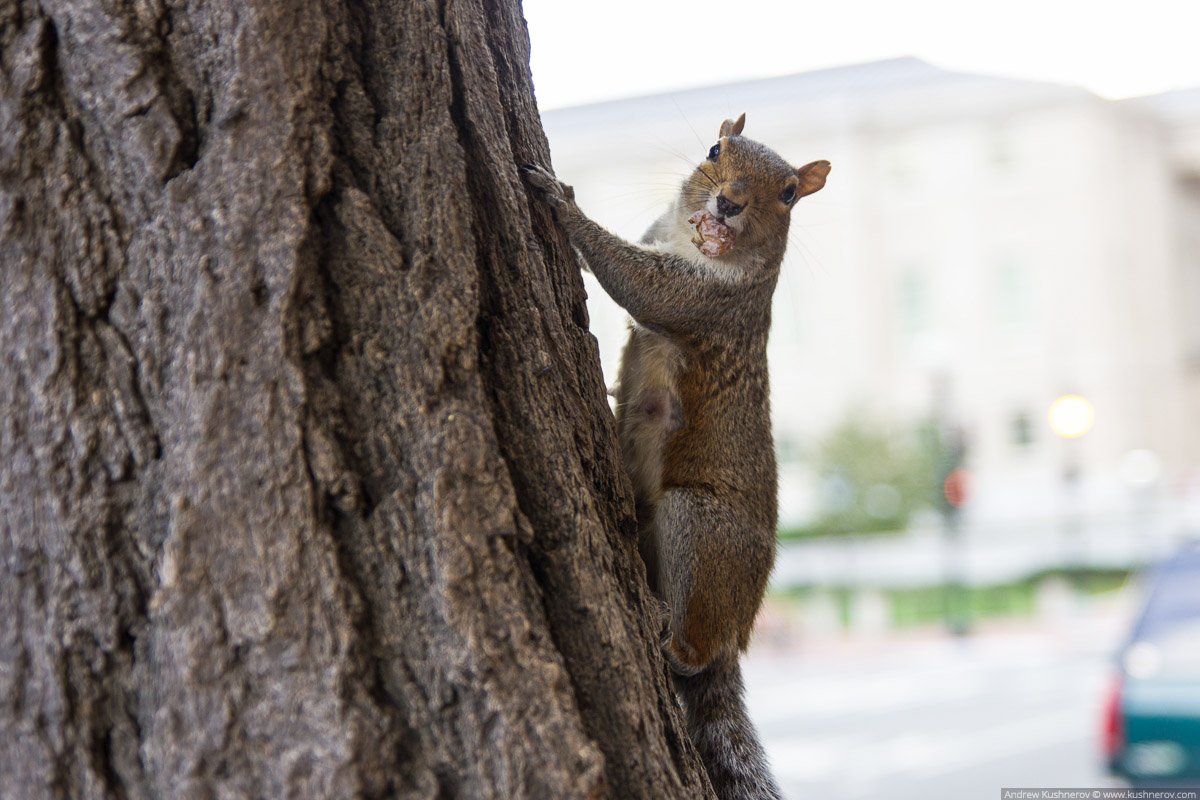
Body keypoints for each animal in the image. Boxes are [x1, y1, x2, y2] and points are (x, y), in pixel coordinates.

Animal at [520, 113, 830, 800]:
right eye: (715, 150)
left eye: (789, 194)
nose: (729, 203)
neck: (702, 248)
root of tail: (738, 631)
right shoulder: (661, 237)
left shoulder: (715, 302)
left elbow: (642, 286)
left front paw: (561, 201)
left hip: (700, 528)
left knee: (695, 650)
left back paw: (671, 643)